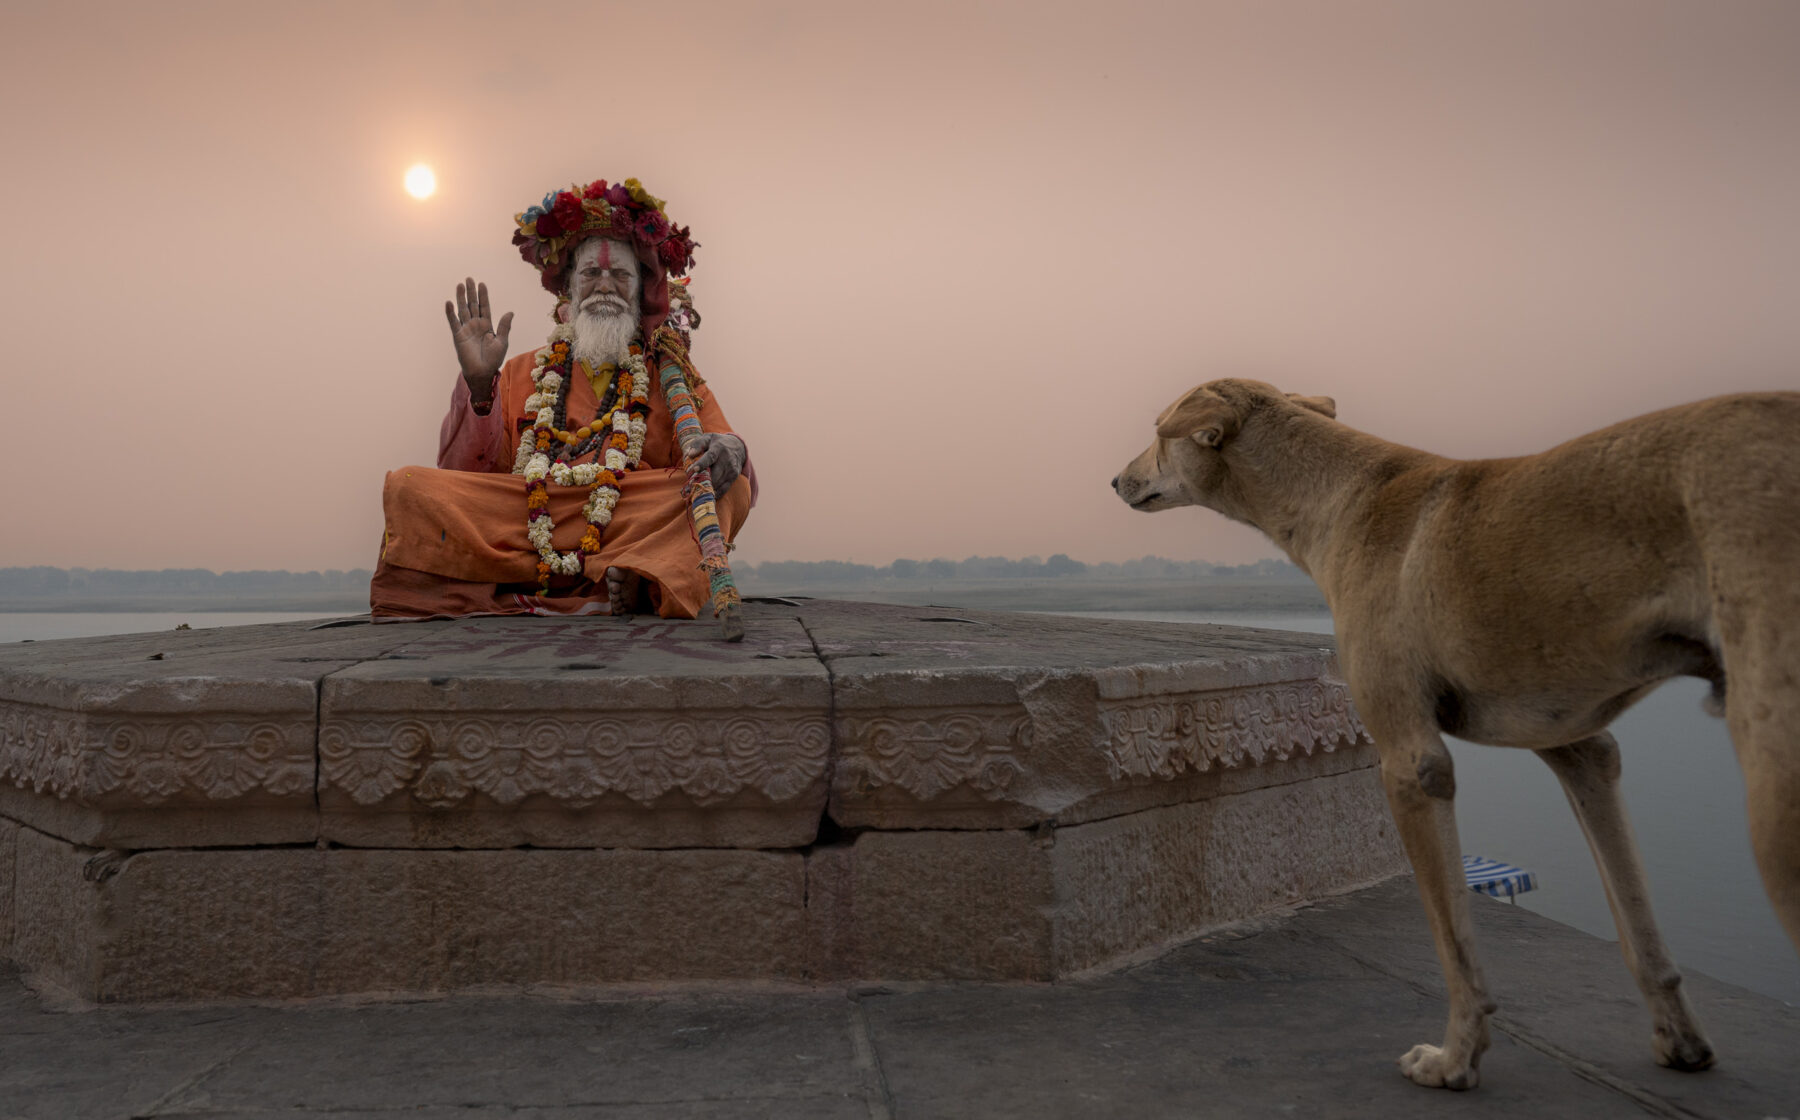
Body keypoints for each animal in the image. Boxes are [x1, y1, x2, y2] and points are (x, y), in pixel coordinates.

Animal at [1108, 381, 1800, 1094]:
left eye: (1158, 433)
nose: (1115, 480)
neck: (1343, 496)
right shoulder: (1578, 744)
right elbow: (1638, 925)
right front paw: (1680, 1040)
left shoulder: (1411, 763)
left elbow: (1453, 944)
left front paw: (1454, 1059)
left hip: (1779, 796)